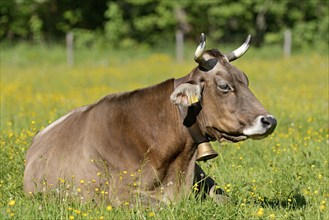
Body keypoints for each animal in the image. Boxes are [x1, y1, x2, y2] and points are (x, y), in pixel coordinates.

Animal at [23, 34, 276, 206]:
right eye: (224, 86)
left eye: (245, 79)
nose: (269, 121)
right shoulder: (118, 196)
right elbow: (162, 205)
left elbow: (226, 200)